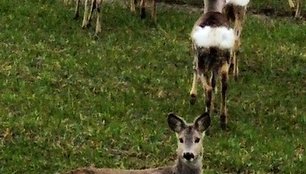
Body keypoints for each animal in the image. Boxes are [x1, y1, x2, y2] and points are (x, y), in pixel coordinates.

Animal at [189, 0, 234, 129]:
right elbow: (214, 82)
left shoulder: (196, 56)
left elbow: (194, 69)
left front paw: (192, 97)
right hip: (225, 60)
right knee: (224, 85)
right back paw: (223, 120)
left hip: (202, 60)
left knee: (207, 88)